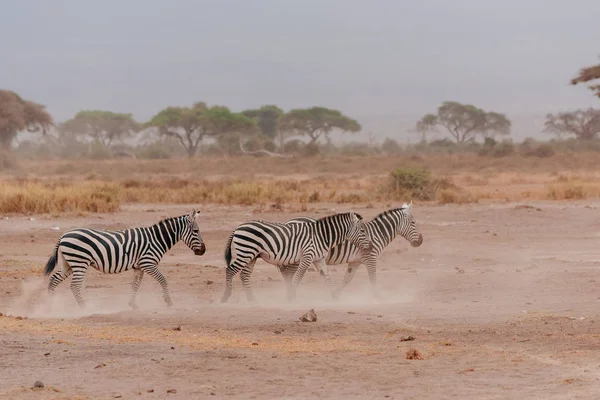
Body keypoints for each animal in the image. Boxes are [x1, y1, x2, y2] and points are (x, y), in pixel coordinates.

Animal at [42, 209, 206, 310]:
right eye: (196, 231)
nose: (203, 251)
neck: (156, 239)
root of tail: (63, 235)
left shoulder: (139, 266)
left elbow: (135, 285)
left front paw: (132, 304)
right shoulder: (148, 263)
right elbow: (163, 280)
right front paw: (169, 301)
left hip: (68, 263)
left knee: (54, 280)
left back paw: (50, 306)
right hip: (80, 262)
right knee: (75, 286)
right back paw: (84, 308)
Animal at [220, 211, 370, 302]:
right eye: (362, 231)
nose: (370, 245)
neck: (321, 236)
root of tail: (238, 227)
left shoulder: (319, 259)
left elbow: (327, 277)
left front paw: (335, 297)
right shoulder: (307, 256)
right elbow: (298, 277)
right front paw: (291, 297)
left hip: (252, 256)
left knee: (244, 275)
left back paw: (252, 300)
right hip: (246, 252)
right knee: (230, 270)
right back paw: (225, 297)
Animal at [278, 203, 422, 300]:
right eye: (413, 223)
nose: (420, 241)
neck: (376, 234)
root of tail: (289, 221)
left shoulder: (356, 261)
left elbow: (347, 279)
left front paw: (337, 294)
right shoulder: (371, 257)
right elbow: (372, 278)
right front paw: (378, 297)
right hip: (295, 256)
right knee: (288, 275)